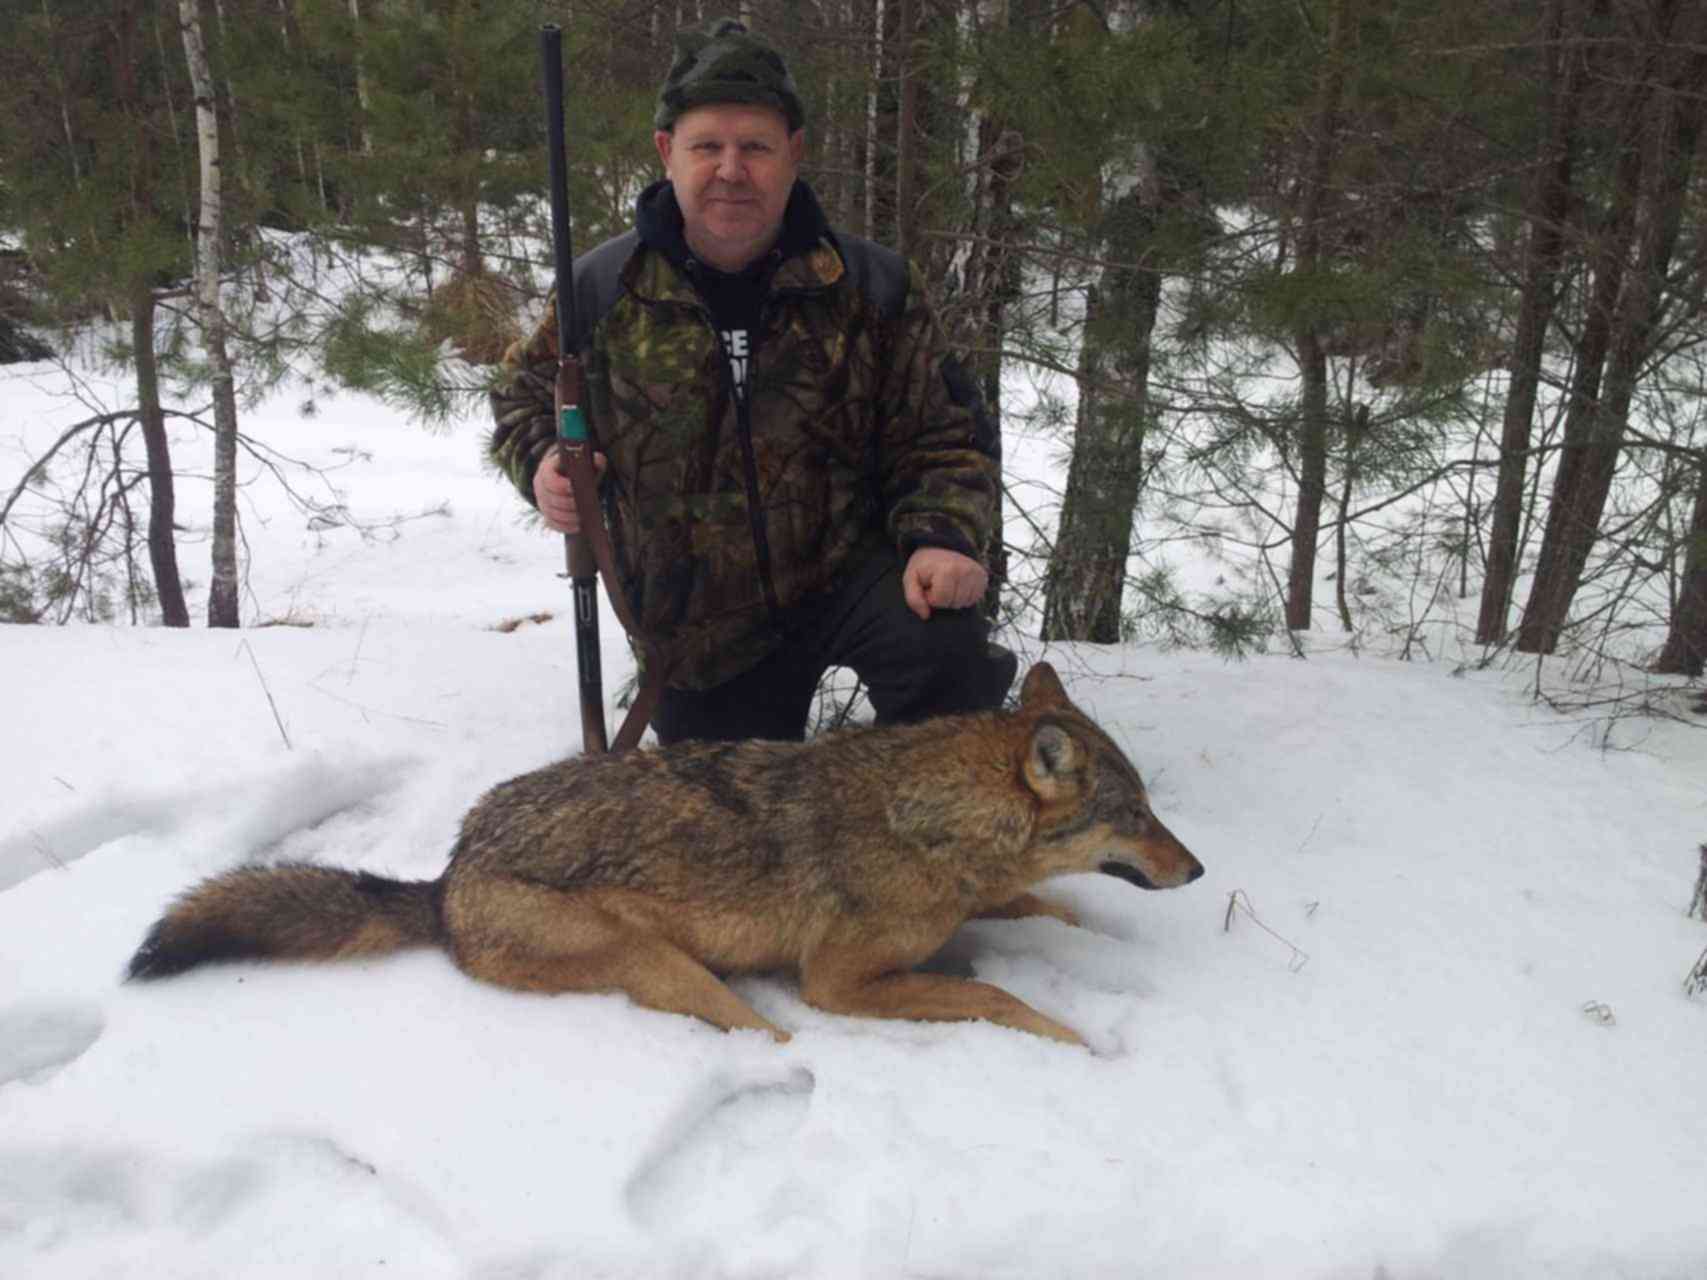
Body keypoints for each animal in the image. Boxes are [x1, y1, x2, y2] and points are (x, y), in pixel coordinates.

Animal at [129, 665, 1201, 1044]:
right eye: (1136, 813)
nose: (1195, 873)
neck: (927, 819)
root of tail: (447, 876)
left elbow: (1049, 912)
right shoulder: (837, 985)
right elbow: (997, 996)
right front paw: (1081, 1043)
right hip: (676, 970)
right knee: (767, 1035)